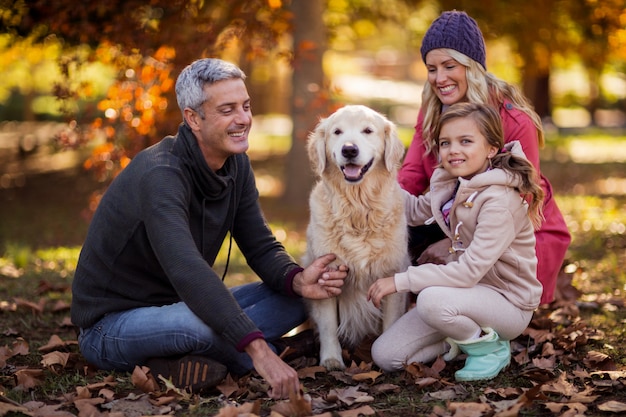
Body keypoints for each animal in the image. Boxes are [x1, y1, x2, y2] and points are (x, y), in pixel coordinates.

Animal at [302, 105, 410, 368]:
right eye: (337, 132)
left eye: (368, 131)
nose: (349, 149)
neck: (358, 209)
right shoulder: (326, 274)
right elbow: (329, 326)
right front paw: (331, 359)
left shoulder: (392, 272)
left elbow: (390, 322)